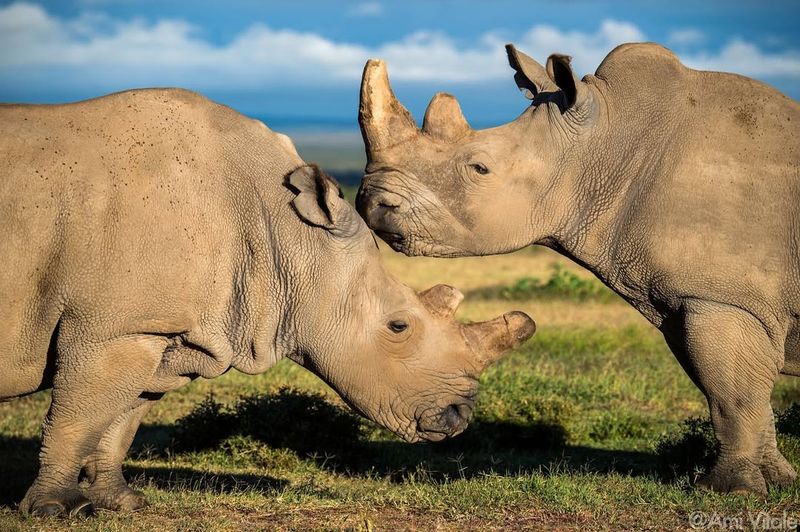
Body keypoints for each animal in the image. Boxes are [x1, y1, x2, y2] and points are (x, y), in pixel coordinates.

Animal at [1, 89, 536, 516]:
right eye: (398, 327)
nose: (458, 417)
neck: (288, 237)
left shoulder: (157, 329)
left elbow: (121, 420)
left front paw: (123, 503)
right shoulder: (115, 327)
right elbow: (75, 419)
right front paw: (52, 510)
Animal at [358, 41, 800, 494]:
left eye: (480, 168)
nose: (371, 202)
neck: (603, 145)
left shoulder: (721, 297)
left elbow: (732, 395)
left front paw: (729, 490)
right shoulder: (690, 299)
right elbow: (744, 394)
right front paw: (777, 482)